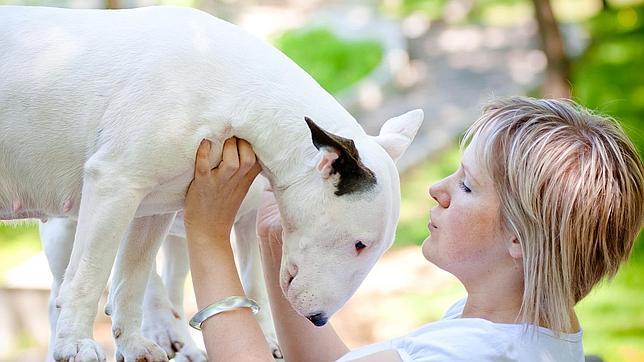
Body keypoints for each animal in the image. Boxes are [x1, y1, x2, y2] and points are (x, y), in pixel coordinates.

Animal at [0, 6, 426, 362]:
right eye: (360, 244)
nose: (320, 320)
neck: (239, 92)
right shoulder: (114, 184)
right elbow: (89, 276)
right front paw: (76, 345)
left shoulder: (151, 206)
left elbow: (133, 276)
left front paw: (134, 345)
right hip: (67, 228)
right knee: (61, 287)